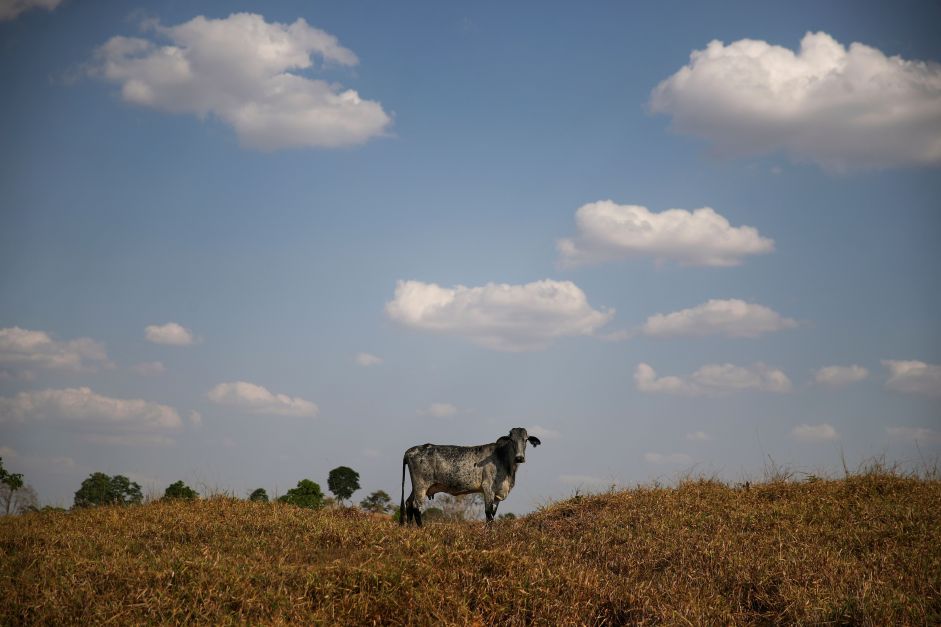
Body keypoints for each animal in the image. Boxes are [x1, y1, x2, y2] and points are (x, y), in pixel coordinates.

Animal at [398, 430, 544, 528]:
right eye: (512, 440)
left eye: (525, 440)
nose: (519, 457)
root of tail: (410, 450)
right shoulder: (488, 487)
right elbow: (488, 513)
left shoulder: (497, 494)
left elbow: (493, 513)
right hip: (421, 485)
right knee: (416, 506)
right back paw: (421, 529)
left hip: (416, 487)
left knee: (408, 503)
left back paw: (410, 529)